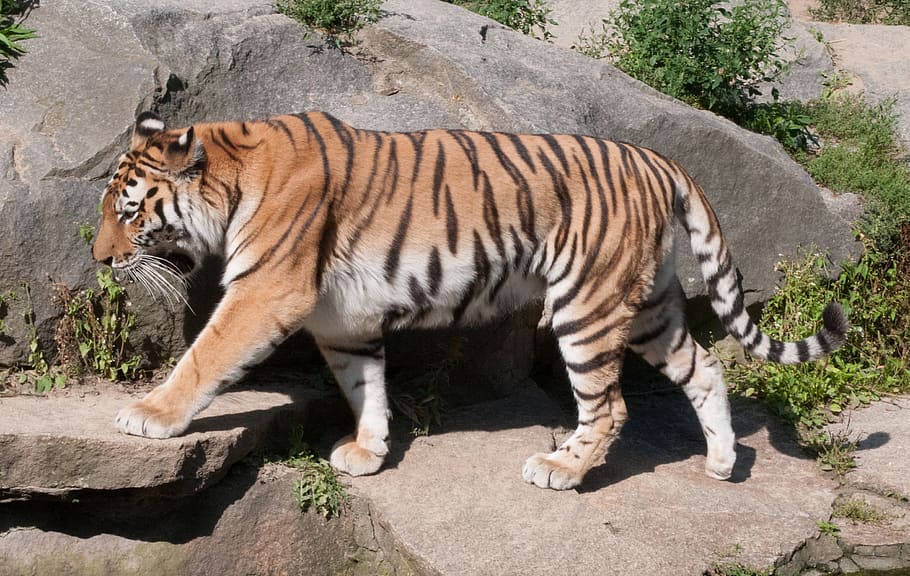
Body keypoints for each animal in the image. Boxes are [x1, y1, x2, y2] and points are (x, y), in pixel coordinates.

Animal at [92, 111, 848, 490]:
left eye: (128, 212)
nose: (100, 259)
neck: (232, 169)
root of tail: (660, 159)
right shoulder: (343, 317)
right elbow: (365, 384)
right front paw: (369, 450)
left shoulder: (266, 290)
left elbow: (205, 355)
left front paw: (149, 415)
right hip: (651, 308)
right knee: (707, 369)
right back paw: (721, 464)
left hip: (586, 305)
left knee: (609, 406)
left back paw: (561, 469)